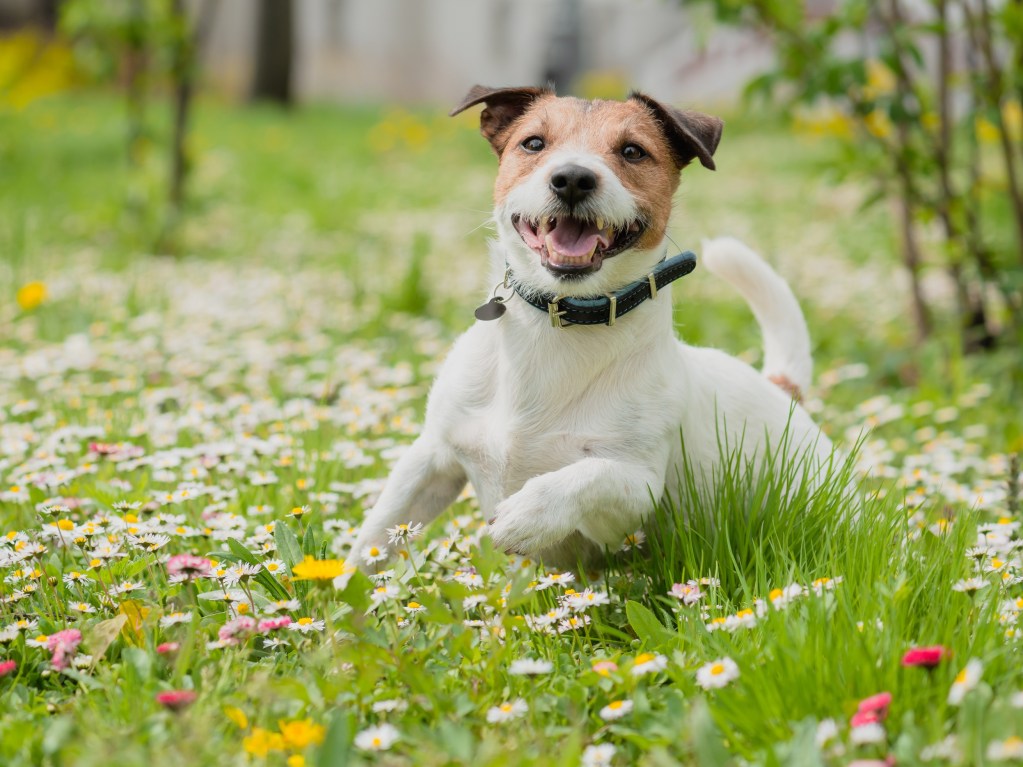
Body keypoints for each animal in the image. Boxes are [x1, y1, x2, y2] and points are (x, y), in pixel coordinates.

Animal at [351, 85, 830, 572]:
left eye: (633, 151)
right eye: (533, 143)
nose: (573, 178)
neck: (560, 322)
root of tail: (782, 389)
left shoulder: (636, 496)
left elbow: (589, 475)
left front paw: (529, 513)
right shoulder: (431, 459)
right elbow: (373, 538)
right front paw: (343, 587)